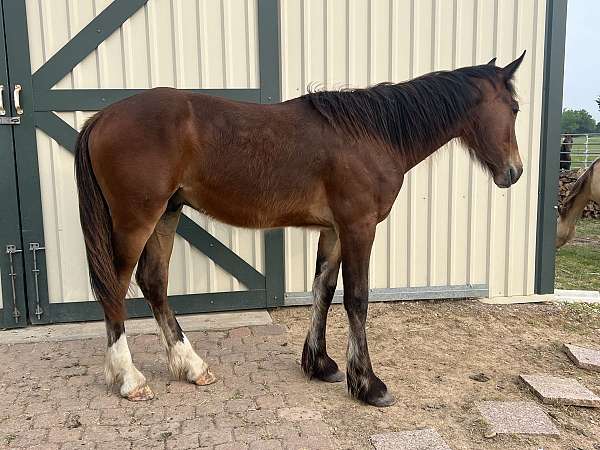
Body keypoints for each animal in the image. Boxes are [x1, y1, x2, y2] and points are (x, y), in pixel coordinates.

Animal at [74, 51, 524, 406]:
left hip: (167, 214)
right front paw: (368, 384)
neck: (373, 135)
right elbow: (357, 299)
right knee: (115, 288)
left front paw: (320, 364)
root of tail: (102, 117)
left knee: (154, 283)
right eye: (516, 108)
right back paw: (129, 379)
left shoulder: (334, 230)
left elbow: (322, 290)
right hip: (136, 221)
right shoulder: (359, 227)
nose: (514, 172)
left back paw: (192, 366)